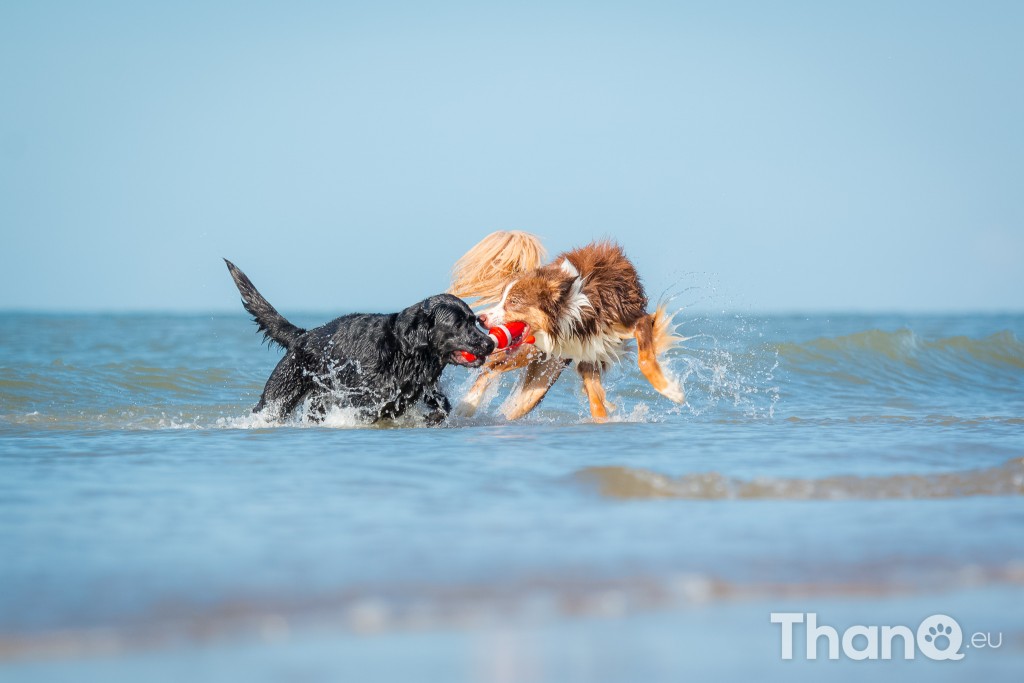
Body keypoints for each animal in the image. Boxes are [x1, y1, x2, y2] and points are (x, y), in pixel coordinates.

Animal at [225, 260, 495, 423]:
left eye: (474, 320)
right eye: (458, 324)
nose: (489, 343)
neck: (405, 350)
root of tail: (302, 336)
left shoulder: (421, 387)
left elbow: (442, 406)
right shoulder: (364, 399)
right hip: (278, 395)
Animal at [450, 231, 684, 421]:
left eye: (513, 302)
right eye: (502, 299)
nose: (480, 318)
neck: (573, 311)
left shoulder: (629, 323)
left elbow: (642, 362)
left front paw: (670, 390)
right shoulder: (587, 352)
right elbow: (596, 399)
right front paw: (674, 390)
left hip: (542, 377)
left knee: (517, 402)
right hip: (531, 353)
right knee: (491, 368)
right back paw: (466, 407)